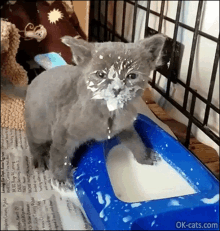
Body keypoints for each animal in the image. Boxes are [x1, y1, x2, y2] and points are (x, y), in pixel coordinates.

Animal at [3, 33, 165, 186]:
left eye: (132, 76)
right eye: (101, 74)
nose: (117, 89)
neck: (110, 112)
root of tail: (30, 85)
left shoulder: (126, 127)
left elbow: (136, 140)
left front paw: (146, 158)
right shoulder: (63, 132)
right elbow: (59, 157)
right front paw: (61, 181)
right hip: (40, 124)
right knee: (32, 136)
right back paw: (39, 157)